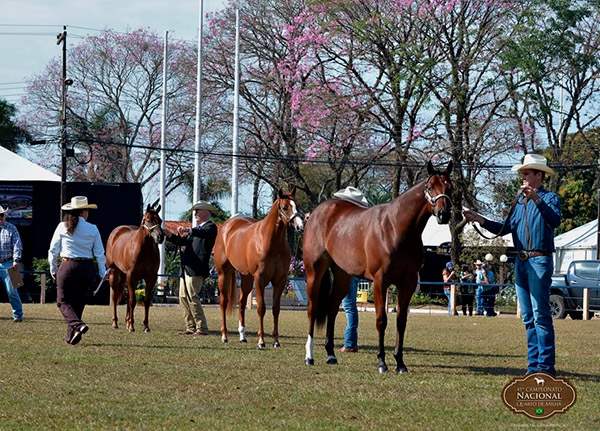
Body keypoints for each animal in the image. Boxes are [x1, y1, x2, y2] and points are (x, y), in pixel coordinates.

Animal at [104, 204, 163, 332]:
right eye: (149, 220)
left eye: (160, 221)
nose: (160, 237)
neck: (144, 250)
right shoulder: (132, 276)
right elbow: (133, 301)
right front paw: (131, 326)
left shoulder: (151, 278)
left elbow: (146, 301)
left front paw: (146, 327)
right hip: (114, 273)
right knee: (115, 297)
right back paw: (115, 323)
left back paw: (126, 323)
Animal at [213, 187, 302, 350]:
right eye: (285, 207)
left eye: (297, 205)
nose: (300, 227)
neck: (270, 242)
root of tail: (227, 226)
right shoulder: (260, 279)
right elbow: (261, 308)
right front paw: (261, 341)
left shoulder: (280, 280)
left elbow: (276, 309)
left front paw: (276, 341)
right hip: (224, 274)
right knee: (223, 302)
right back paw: (224, 336)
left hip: (247, 278)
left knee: (241, 302)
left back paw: (242, 336)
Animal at [302, 162, 452, 374]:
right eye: (430, 187)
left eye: (450, 187)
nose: (443, 214)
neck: (396, 227)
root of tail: (316, 213)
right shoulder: (381, 281)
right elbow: (381, 320)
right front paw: (382, 362)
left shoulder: (407, 283)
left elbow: (401, 321)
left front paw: (400, 363)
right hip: (314, 272)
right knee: (312, 309)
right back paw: (309, 356)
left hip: (343, 277)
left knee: (332, 308)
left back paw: (331, 354)